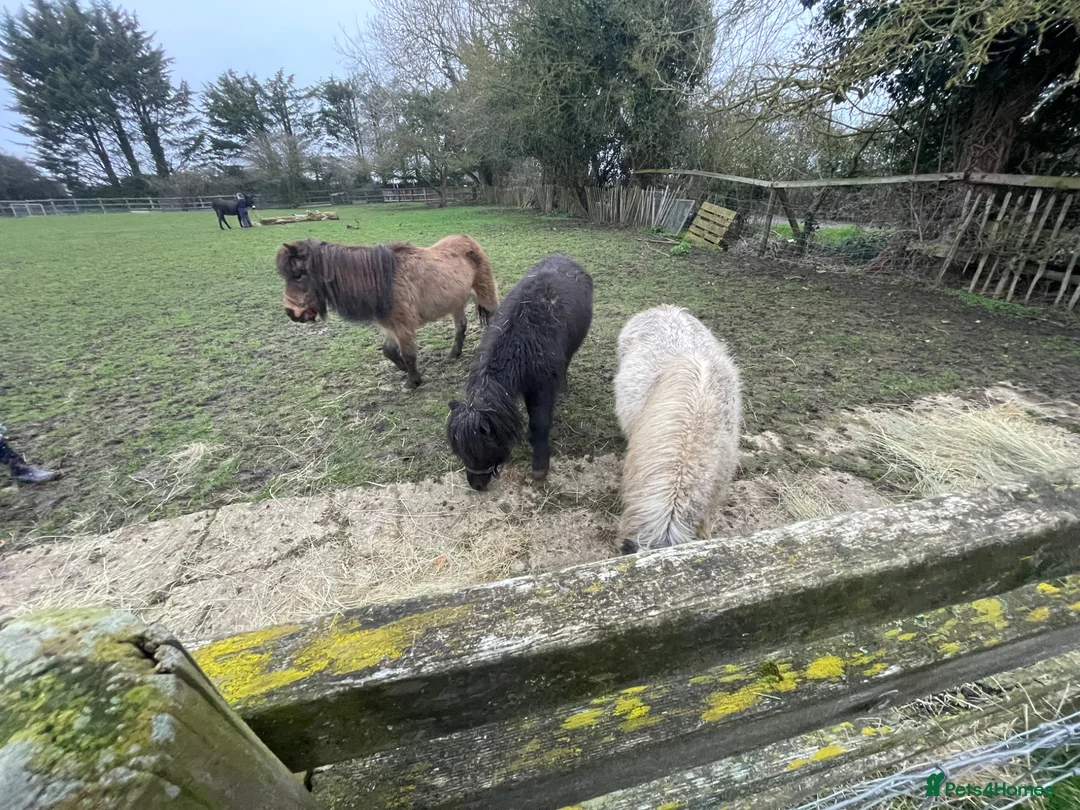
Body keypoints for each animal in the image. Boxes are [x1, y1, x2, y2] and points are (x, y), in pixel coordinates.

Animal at [277, 235, 499, 388]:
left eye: (298, 275)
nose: (291, 313)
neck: (383, 280)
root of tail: (467, 239)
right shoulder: (391, 325)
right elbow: (389, 351)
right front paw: (403, 368)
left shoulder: (403, 325)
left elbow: (408, 354)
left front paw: (413, 381)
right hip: (456, 301)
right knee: (460, 326)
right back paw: (454, 354)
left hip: (484, 289)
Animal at [447, 254, 593, 491]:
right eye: (460, 450)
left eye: (481, 449)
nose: (476, 484)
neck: (521, 343)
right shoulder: (527, 387)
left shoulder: (543, 387)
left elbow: (540, 424)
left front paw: (540, 468)